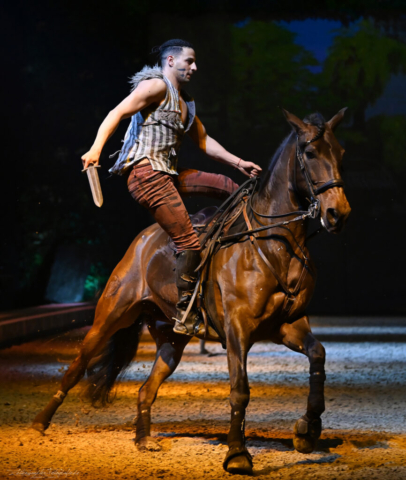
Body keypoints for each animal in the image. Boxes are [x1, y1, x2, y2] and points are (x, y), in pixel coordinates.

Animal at [30, 109, 350, 476]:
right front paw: (237, 454)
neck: (274, 243)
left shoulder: (288, 324)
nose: (338, 213)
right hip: (110, 316)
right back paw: (40, 423)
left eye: (340, 153)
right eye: (309, 153)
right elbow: (239, 389)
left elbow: (317, 357)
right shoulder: (238, 329)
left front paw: (307, 430)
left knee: (146, 390)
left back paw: (144, 440)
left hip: (171, 339)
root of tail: (143, 239)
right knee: (78, 365)